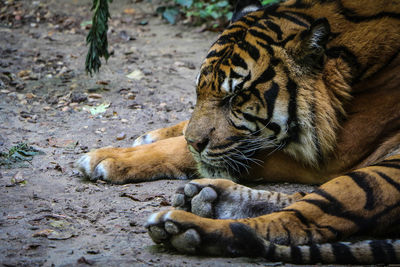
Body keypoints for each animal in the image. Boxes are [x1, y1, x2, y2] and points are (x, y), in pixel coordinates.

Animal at [76, 0, 400, 264]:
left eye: (236, 98)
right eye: (198, 91)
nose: (196, 142)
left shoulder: (335, 153)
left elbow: (191, 150)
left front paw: (107, 157)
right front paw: (153, 134)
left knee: (294, 224)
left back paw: (185, 226)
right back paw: (207, 196)